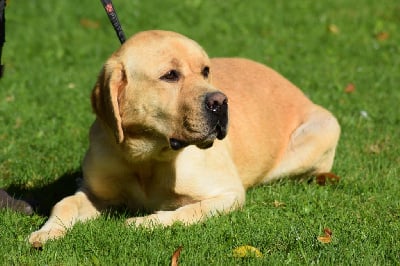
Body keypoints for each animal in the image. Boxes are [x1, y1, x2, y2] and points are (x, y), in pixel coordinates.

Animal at [28, 29, 340, 247]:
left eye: (205, 70)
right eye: (170, 75)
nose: (221, 102)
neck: (146, 158)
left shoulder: (228, 194)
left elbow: (187, 211)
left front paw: (144, 222)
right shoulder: (94, 192)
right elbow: (65, 204)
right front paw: (47, 232)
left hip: (321, 131)